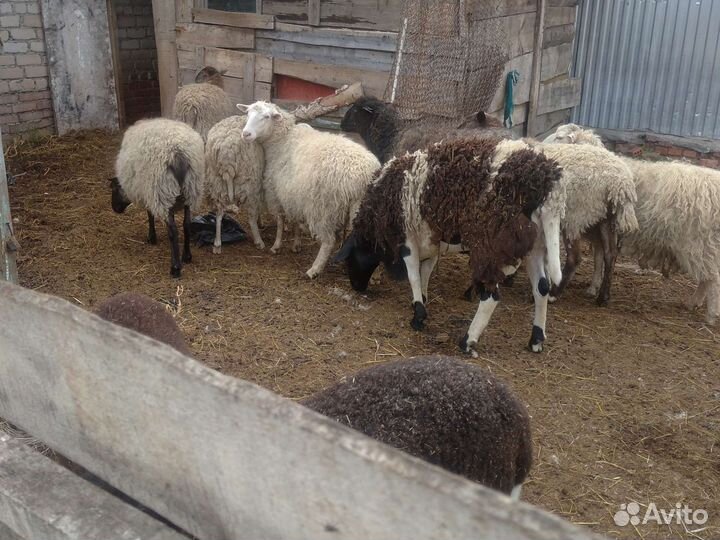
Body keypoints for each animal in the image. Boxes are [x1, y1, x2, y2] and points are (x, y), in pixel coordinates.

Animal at [111, 118, 204, 278]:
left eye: (114, 189)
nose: (114, 209)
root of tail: (178, 154)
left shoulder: (148, 192)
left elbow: (150, 215)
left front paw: (151, 238)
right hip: (190, 190)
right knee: (186, 225)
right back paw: (186, 257)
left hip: (162, 191)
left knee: (173, 230)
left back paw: (175, 268)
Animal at [205, 114, 278, 253]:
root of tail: (227, 152)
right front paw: (260, 222)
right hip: (249, 182)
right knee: (250, 216)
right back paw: (258, 241)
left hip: (217, 181)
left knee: (219, 214)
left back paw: (217, 244)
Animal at [238, 101, 381, 278]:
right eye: (248, 113)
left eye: (266, 116)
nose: (246, 134)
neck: (281, 141)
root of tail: (366, 173)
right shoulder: (294, 194)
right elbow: (296, 221)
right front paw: (296, 244)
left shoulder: (277, 193)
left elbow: (280, 221)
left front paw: (276, 245)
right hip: (362, 207)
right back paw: (374, 276)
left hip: (324, 208)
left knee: (328, 241)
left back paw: (314, 269)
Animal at [334, 137, 565, 353]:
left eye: (350, 260)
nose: (357, 287)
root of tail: (546, 184)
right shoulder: (431, 240)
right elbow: (425, 270)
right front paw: (422, 300)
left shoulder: (407, 238)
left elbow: (413, 274)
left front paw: (418, 316)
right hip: (535, 244)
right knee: (541, 288)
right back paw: (536, 340)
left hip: (493, 246)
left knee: (491, 296)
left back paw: (468, 341)